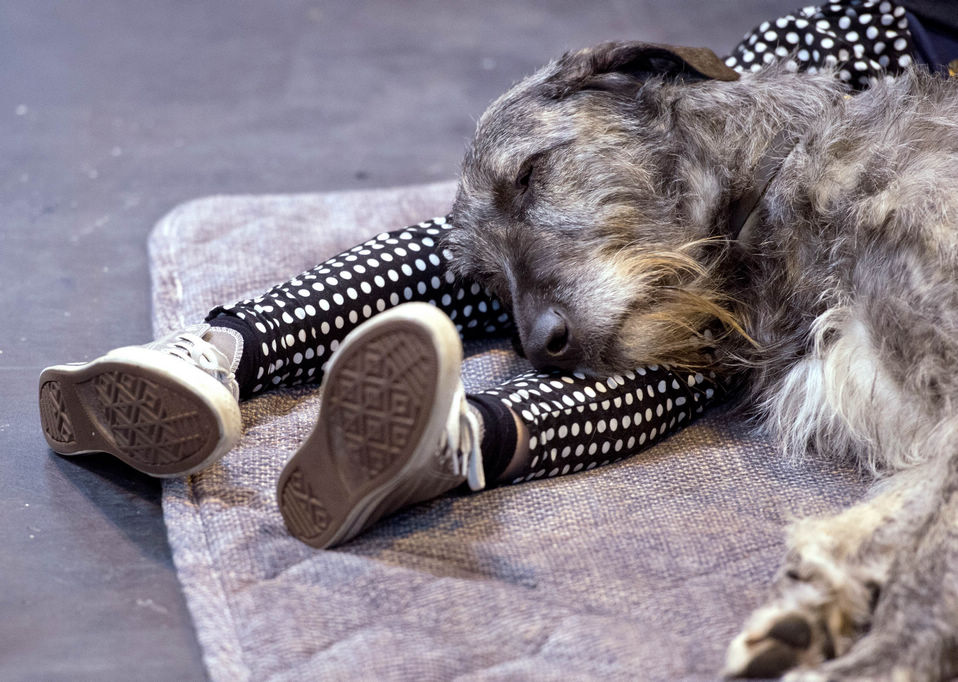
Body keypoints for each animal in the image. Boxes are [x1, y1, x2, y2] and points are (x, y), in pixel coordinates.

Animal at [448, 43, 958, 680]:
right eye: (488, 278)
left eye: (529, 174)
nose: (544, 344)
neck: (782, 172)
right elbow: (911, 506)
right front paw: (815, 603)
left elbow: (931, 555)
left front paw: (881, 659)